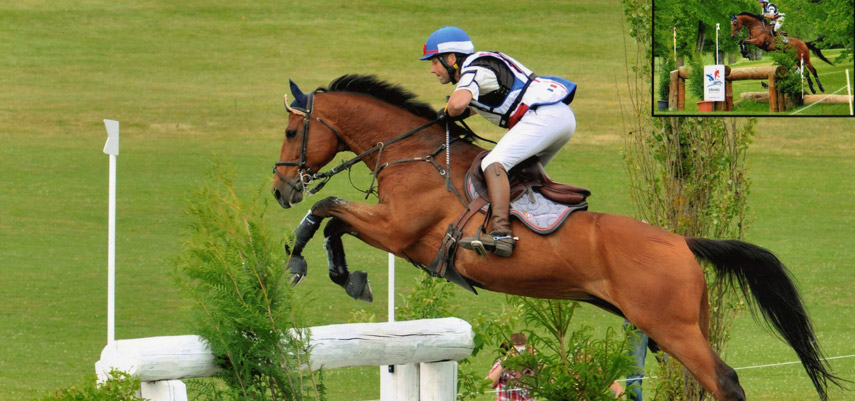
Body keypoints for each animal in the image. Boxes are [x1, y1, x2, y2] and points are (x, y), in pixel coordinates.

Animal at [272, 75, 844, 400]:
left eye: (289, 132)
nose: (280, 189)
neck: (412, 154)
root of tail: (683, 242)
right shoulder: (392, 230)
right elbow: (336, 219)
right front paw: (347, 276)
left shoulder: (398, 230)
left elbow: (327, 208)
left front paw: (303, 263)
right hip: (681, 326)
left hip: (673, 327)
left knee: (724, 382)